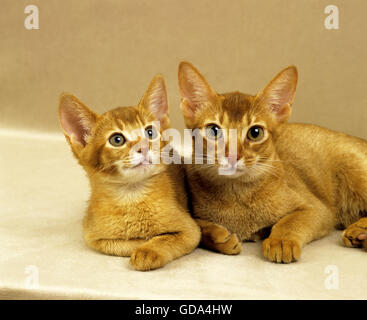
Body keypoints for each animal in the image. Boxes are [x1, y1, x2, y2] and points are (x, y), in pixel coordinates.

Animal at [58, 73, 200, 270]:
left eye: (150, 132)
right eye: (116, 139)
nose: (143, 147)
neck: (132, 197)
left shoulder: (190, 230)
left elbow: (166, 238)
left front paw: (148, 250)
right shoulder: (93, 237)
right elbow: (124, 244)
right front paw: (142, 242)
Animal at [178, 61, 367, 262]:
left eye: (255, 132)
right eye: (214, 130)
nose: (233, 156)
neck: (237, 195)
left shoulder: (318, 209)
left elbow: (289, 222)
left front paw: (281, 241)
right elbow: (197, 226)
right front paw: (219, 236)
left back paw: (359, 230)